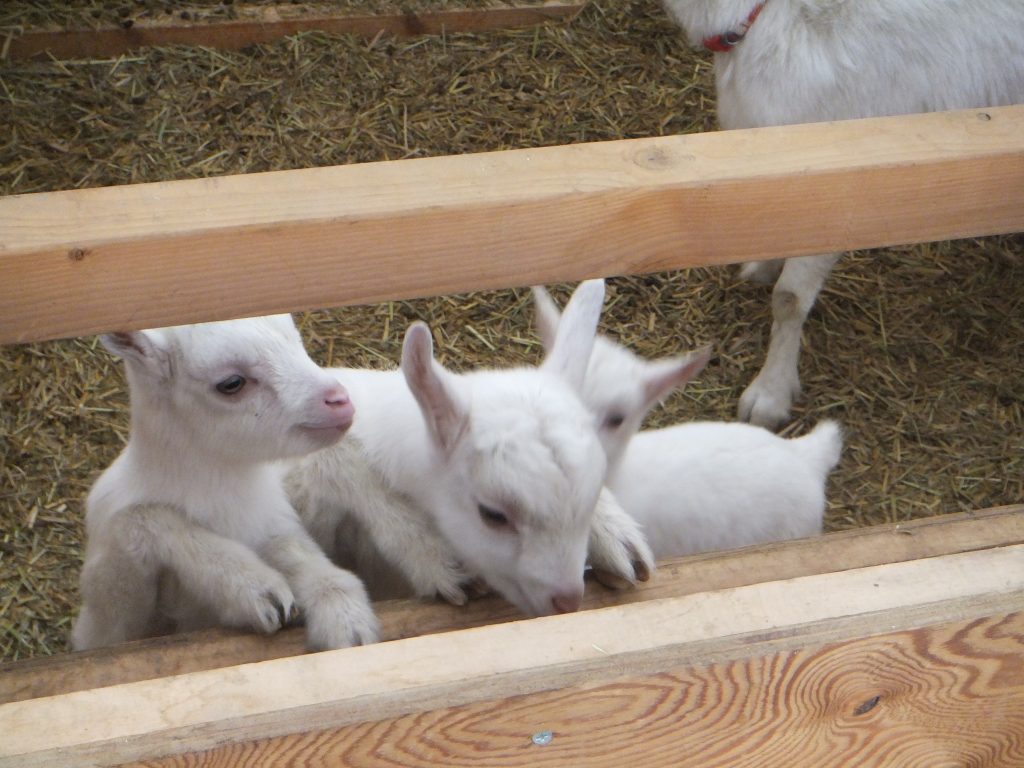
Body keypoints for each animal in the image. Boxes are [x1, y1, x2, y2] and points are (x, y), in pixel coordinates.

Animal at [72, 315, 378, 651]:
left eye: (295, 339)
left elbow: (297, 551)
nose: (340, 401)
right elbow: (143, 519)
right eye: (231, 384)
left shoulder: (274, 520)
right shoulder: (107, 615)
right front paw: (256, 589)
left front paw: (344, 617)